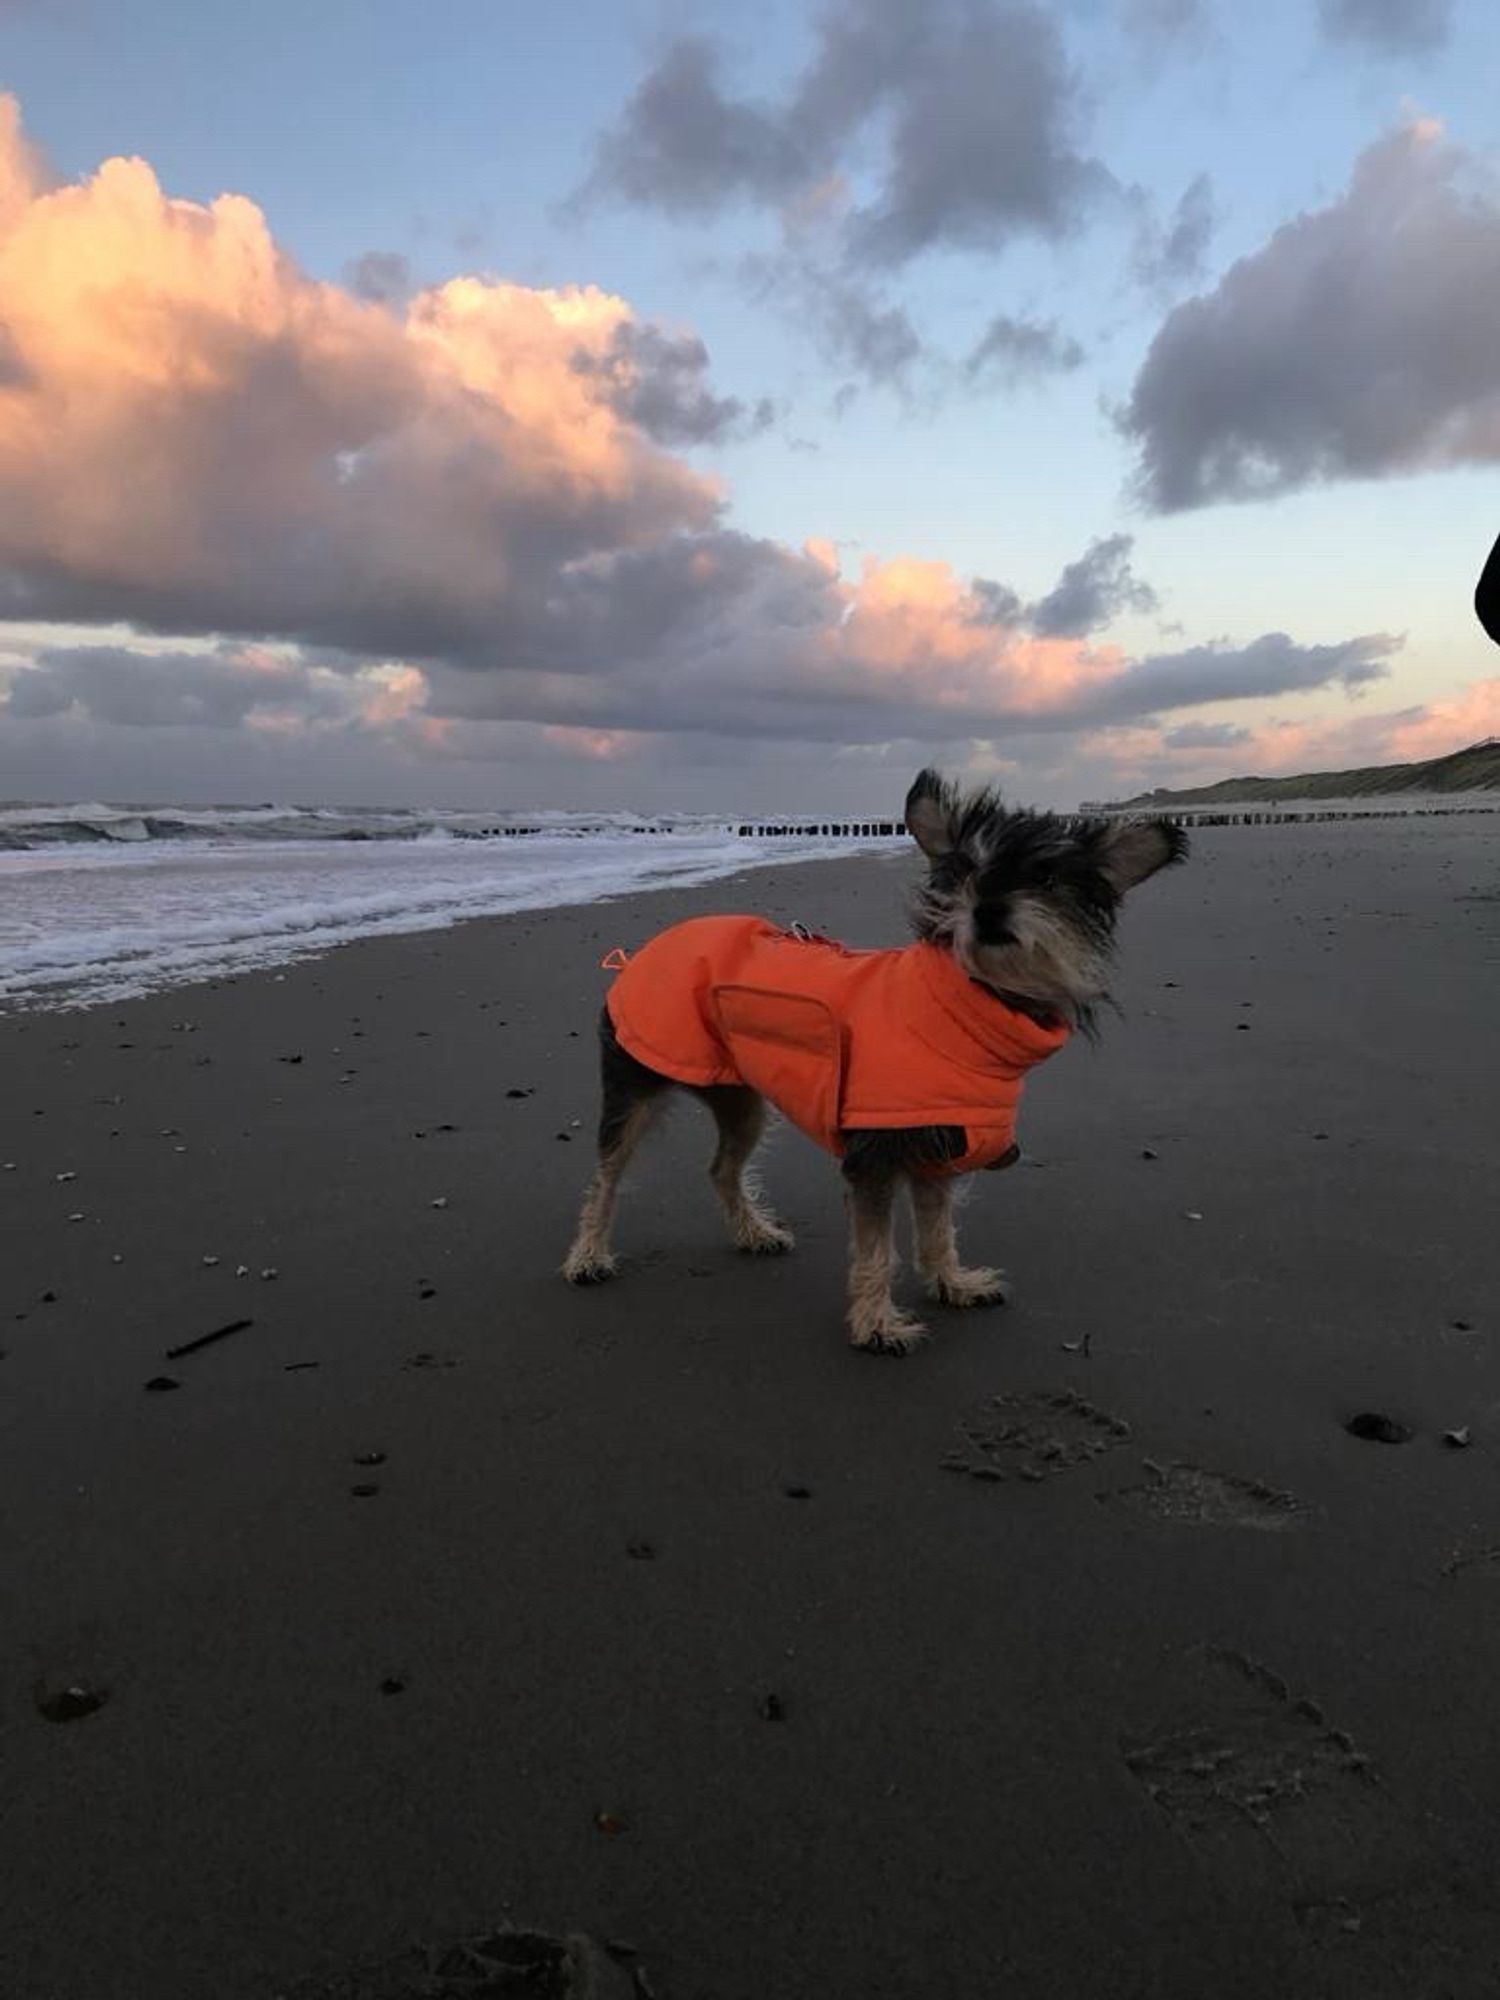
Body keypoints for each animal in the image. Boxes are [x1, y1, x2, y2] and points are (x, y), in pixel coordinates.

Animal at [564, 772, 1184, 1352]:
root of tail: (646, 950)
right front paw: (876, 1324)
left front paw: (952, 1283)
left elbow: (938, 1231)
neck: (961, 1009)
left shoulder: (937, 1151)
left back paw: (753, 1231)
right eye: (966, 869)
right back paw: (589, 1254)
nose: (988, 911)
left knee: (721, 1168)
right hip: (635, 1086)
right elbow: (877, 1251)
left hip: (740, 1100)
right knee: (606, 1176)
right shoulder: (876, 1158)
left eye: (1046, 879)